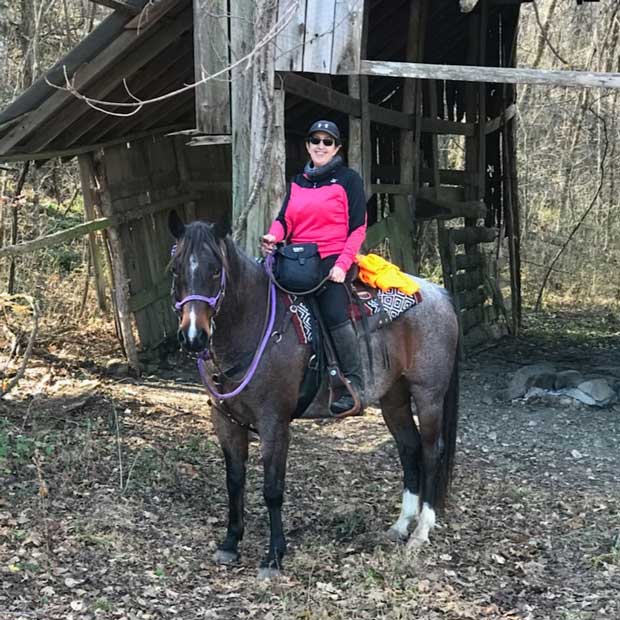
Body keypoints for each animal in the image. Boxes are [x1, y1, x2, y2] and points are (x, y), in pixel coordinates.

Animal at [167, 212, 458, 576]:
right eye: (176, 269)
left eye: (215, 270)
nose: (193, 336)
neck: (256, 323)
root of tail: (439, 293)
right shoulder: (226, 420)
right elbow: (234, 481)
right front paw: (231, 542)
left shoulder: (274, 423)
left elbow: (272, 489)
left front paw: (274, 556)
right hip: (393, 396)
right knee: (409, 447)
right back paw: (401, 525)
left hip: (428, 395)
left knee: (432, 452)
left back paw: (421, 532)